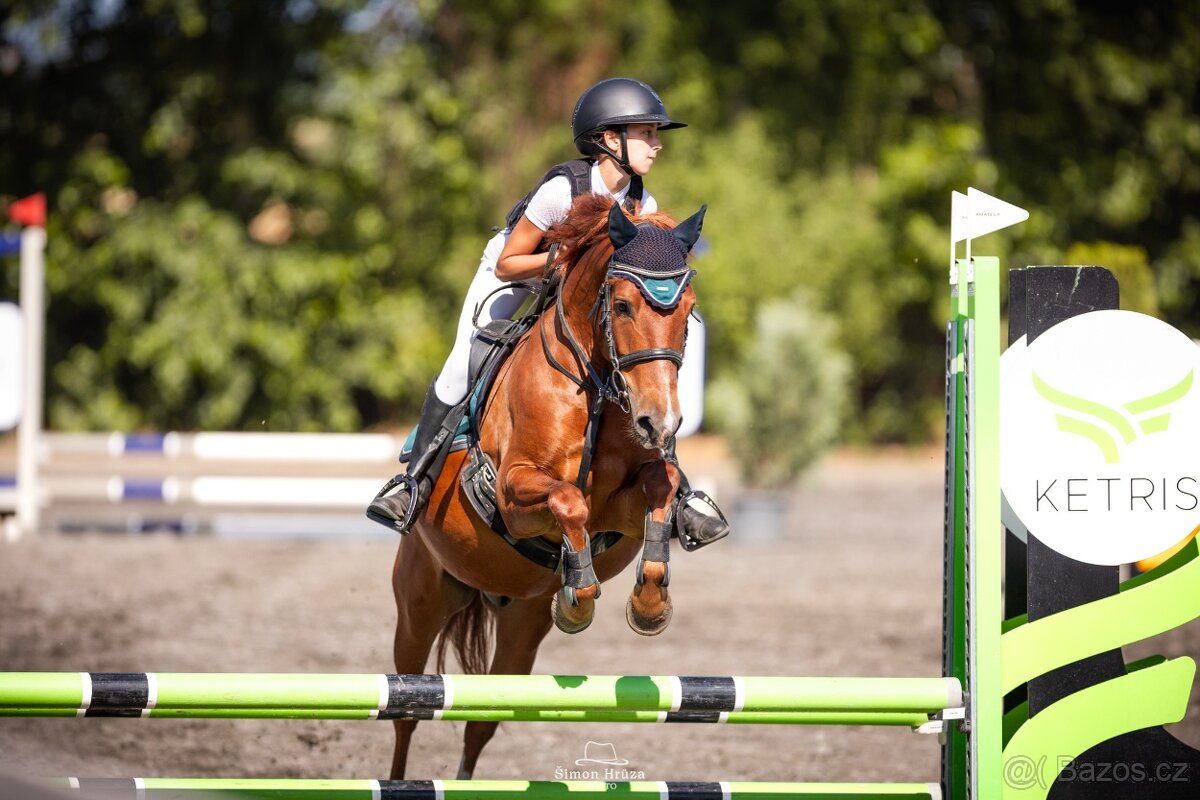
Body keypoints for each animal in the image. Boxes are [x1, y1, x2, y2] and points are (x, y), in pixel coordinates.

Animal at [389, 193, 707, 779]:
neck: (597, 389)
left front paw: (649, 605)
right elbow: (570, 499)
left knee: (481, 722)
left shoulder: (623, 508)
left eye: (688, 311)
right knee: (407, 708)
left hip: (520, 625)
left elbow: (661, 485)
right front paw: (578, 598)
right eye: (622, 306)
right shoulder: (512, 496)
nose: (660, 422)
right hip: (420, 601)